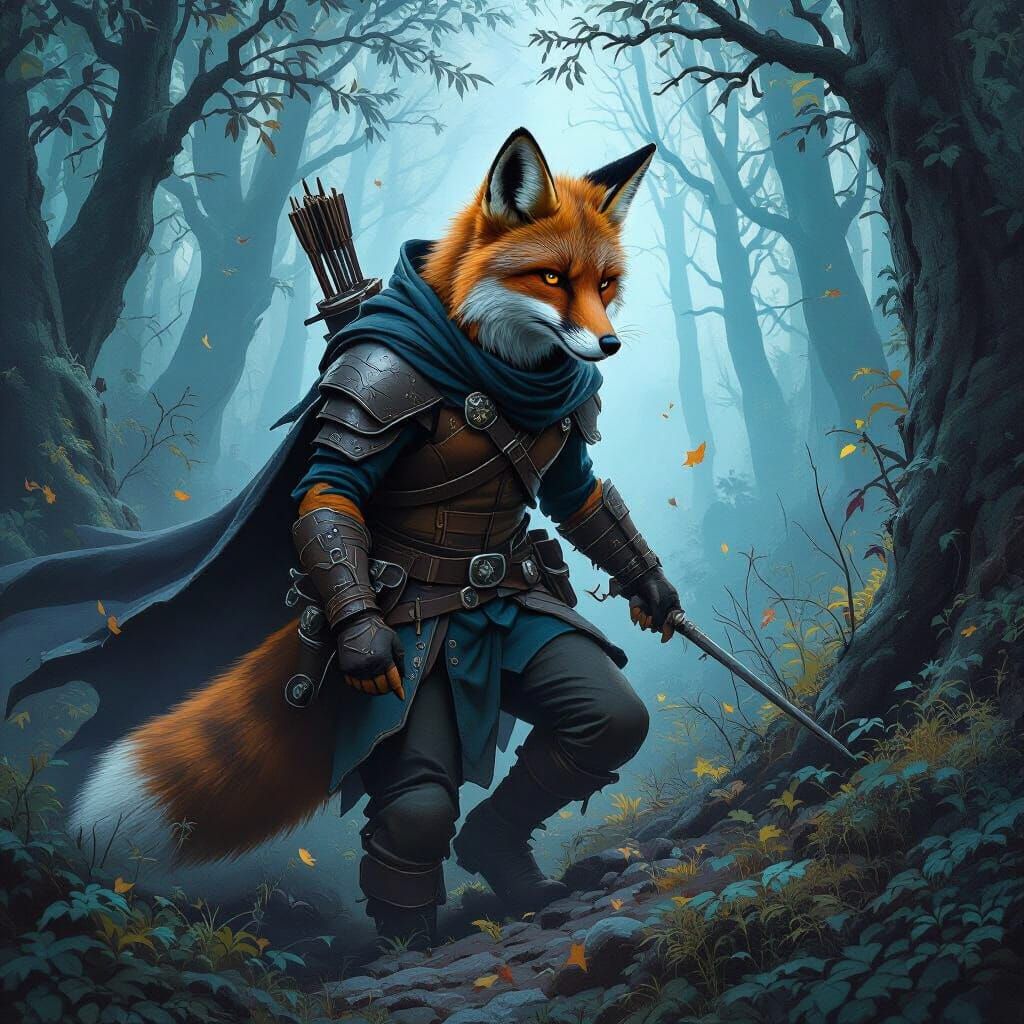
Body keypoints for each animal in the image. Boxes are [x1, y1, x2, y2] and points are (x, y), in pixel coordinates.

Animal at [69, 128, 655, 865]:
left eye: (606, 284)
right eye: (551, 277)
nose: (608, 344)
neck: (488, 360)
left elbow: (579, 497)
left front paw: (655, 593)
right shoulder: (375, 382)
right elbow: (331, 487)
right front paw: (368, 646)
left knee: (608, 723)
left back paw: (493, 850)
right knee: (415, 806)